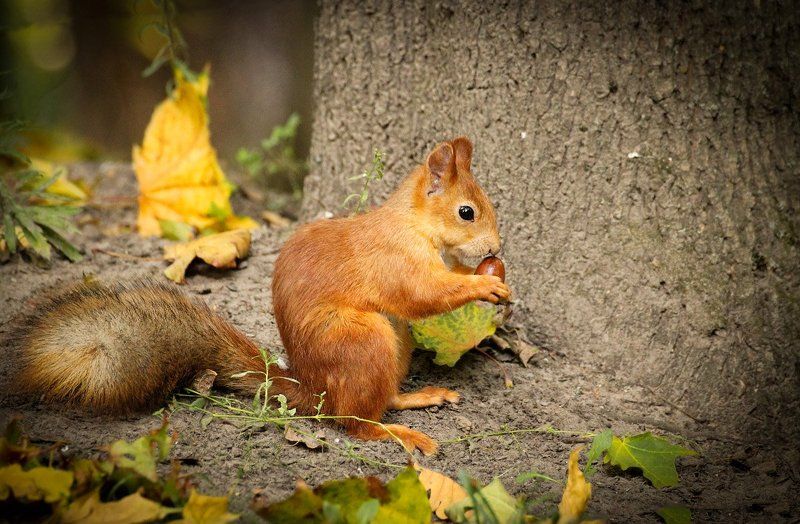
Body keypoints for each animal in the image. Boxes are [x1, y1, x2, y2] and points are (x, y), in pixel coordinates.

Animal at [8, 137, 509, 455]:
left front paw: (491, 275)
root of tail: (313, 391)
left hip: (393, 343)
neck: (414, 224)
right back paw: (399, 434)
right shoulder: (395, 260)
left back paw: (415, 398)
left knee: (377, 400)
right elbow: (424, 294)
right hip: (363, 340)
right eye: (466, 212)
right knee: (352, 422)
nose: (495, 249)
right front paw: (484, 284)